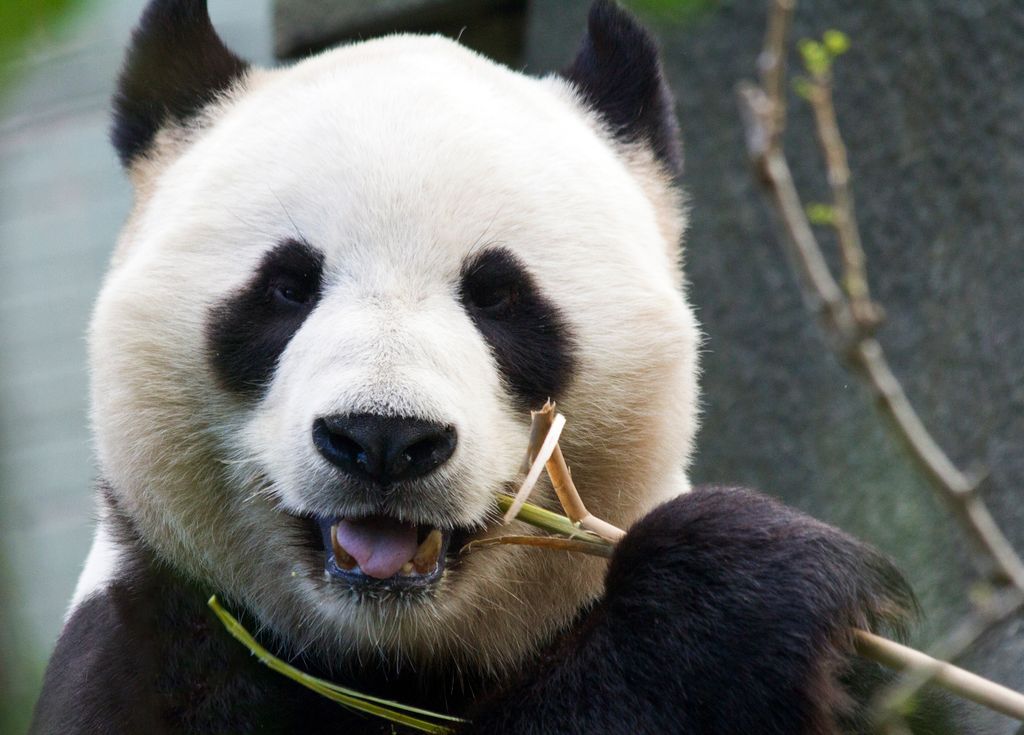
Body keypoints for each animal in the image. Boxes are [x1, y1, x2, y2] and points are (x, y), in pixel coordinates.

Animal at [29, 1, 913, 735]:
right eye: (286, 286)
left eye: (498, 296)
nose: (382, 438)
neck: (390, 659)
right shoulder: (151, 642)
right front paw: (741, 581)